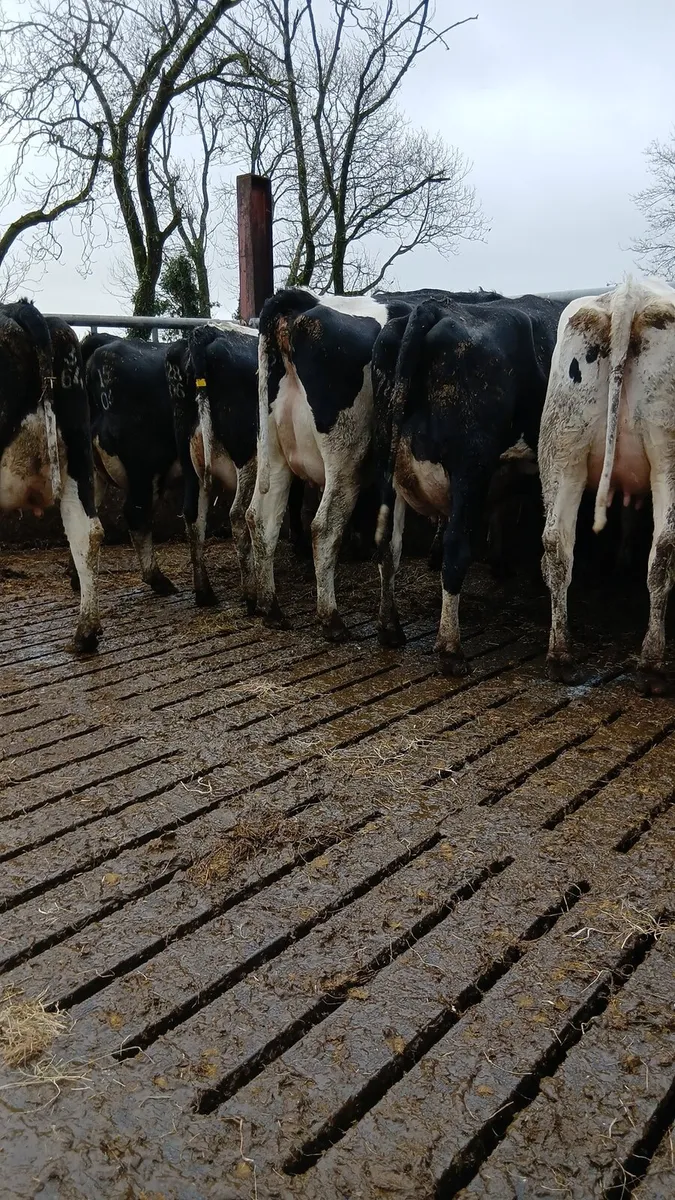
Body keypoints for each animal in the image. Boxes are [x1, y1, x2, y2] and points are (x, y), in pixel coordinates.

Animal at [374, 293, 565, 673]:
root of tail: (434, 307)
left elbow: (503, 510)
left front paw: (500, 562)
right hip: (470, 465)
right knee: (456, 547)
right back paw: (450, 649)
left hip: (389, 460)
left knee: (388, 545)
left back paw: (390, 628)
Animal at [539, 277, 675, 695]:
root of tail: (627, 295)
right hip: (668, 451)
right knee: (664, 548)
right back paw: (651, 667)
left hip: (561, 449)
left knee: (556, 544)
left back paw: (561, 657)